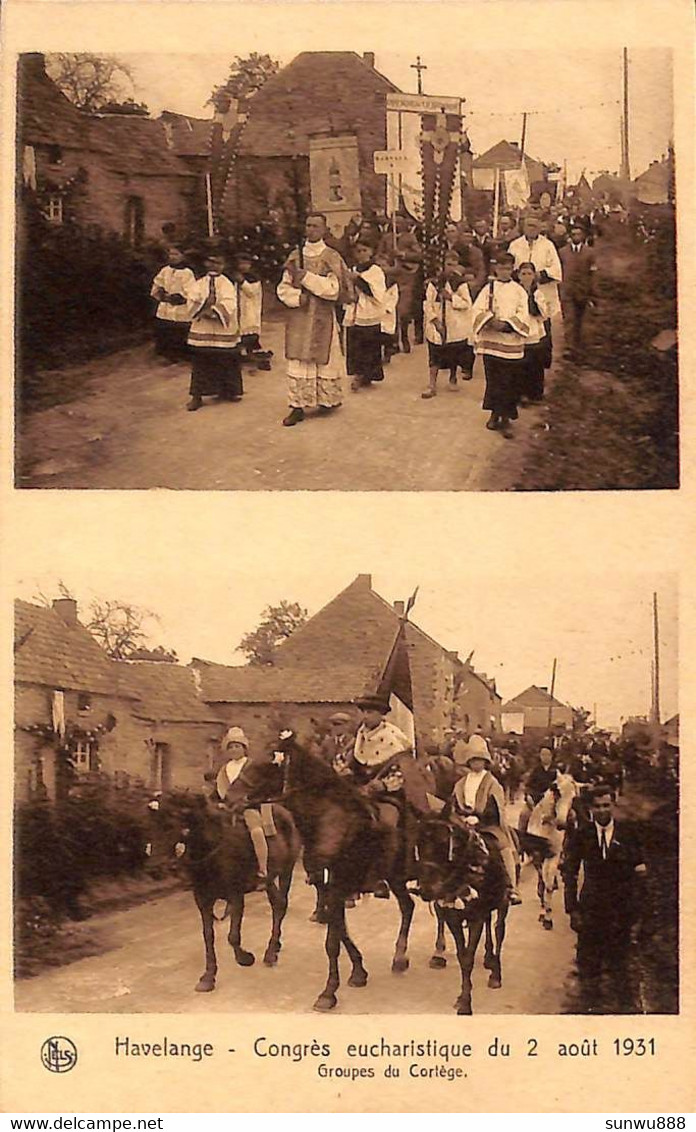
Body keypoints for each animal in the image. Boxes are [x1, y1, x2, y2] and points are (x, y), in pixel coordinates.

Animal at [152, 787, 298, 991]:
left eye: (171, 822)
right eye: (153, 824)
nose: (156, 867)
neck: (213, 849)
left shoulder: (236, 896)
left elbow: (232, 936)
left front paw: (245, 958)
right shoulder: (203, 899)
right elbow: (208, 937)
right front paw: (208, 976)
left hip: (286, 871)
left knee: (281, 905)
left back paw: (271, 952)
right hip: (269, 880)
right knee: (277, 904)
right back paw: (274, 947)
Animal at [416, 810, 509, 1014]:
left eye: (444, 841)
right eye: (418, 843)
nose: (427, 889)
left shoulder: (476, 918)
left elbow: (468, 958)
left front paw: (466, 1003)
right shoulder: (453, 917)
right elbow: (462, 956)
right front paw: (462, 998)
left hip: (503, 903)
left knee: (499, 930)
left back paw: (496, 974)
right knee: (489, 923)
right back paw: (488, 957)